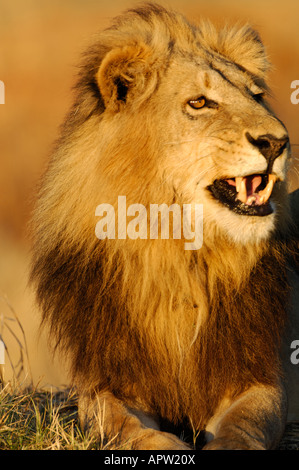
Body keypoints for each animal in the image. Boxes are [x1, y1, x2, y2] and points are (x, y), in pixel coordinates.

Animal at [31, 4, 299, 452]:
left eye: (256, 95)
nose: (279, 143)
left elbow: (245, 421)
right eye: (199, 102)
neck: (174, 253)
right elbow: (121, 423)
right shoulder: (109, 380)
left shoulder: (262, 375)